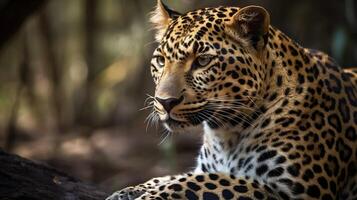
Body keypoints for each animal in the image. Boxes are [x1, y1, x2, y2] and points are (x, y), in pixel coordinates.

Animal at [105, 0, 356, 199]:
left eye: (203, 61)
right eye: (160, 60)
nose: (164, 102)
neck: (226, 133)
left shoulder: (294, 188)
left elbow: (202, 181)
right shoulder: (203, 166)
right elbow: (170, 177)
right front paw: (126, 191)